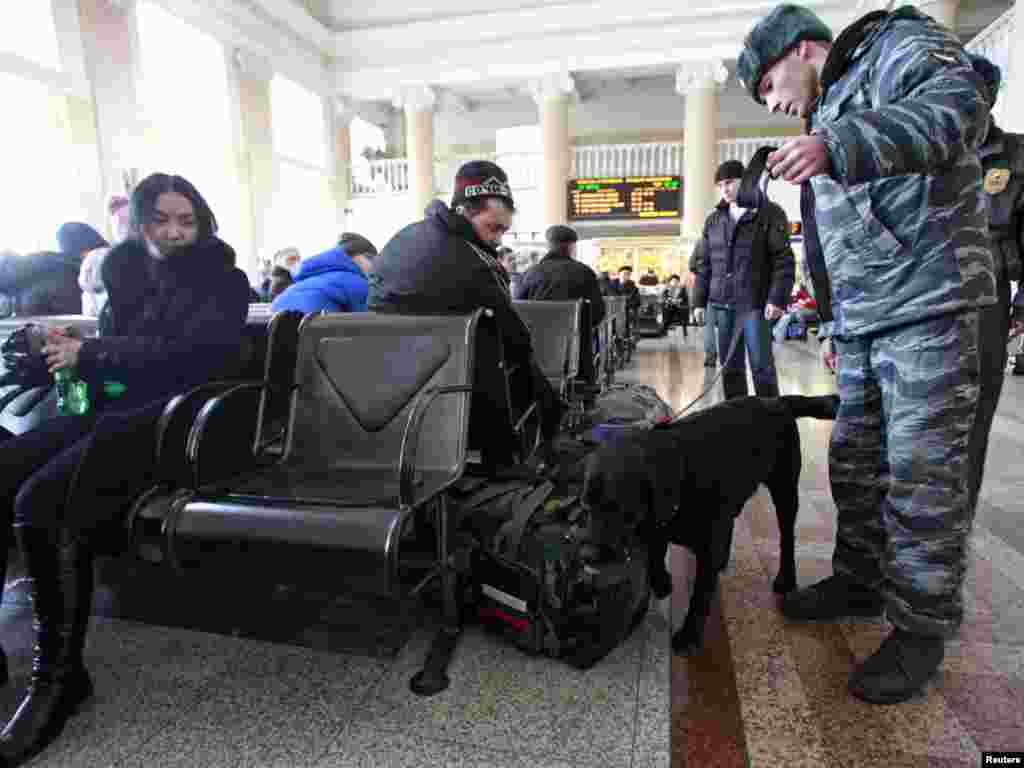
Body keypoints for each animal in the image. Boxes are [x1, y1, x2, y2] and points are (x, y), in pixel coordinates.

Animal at [585, 397, 839, 655]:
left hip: (785, 491)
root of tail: (775, 400)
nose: (587, 555)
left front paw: (689, 635)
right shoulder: (657, 525)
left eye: (618, 508)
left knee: (787, 538)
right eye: (586, 506)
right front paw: (661, 580)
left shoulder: (704, 547)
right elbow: (656, 552)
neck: (682, 472)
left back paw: (786, 578)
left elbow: (699, 596)